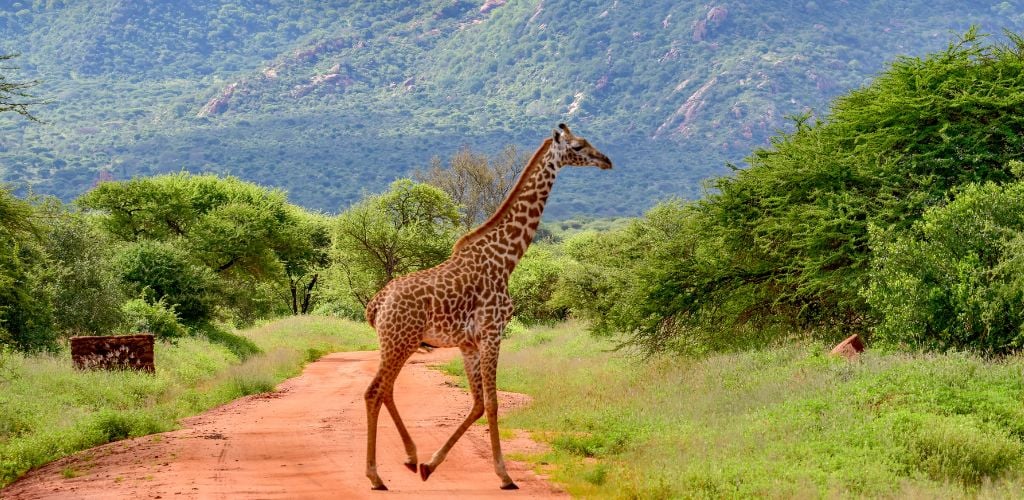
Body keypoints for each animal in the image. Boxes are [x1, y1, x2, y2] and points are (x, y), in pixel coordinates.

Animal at [364, 122, 610, 489]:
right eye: (578, 146)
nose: (607, 160)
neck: (507, 259)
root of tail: (377, 303)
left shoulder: (468, 343)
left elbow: (478, 403)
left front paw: (431, 465)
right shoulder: (493, 332)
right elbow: (492, 403)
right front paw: (505, 475)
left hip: (397, 343)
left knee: (386, 391)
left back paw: (410, 457)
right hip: (400, 341)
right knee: (374, 392)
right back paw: (376, 475)